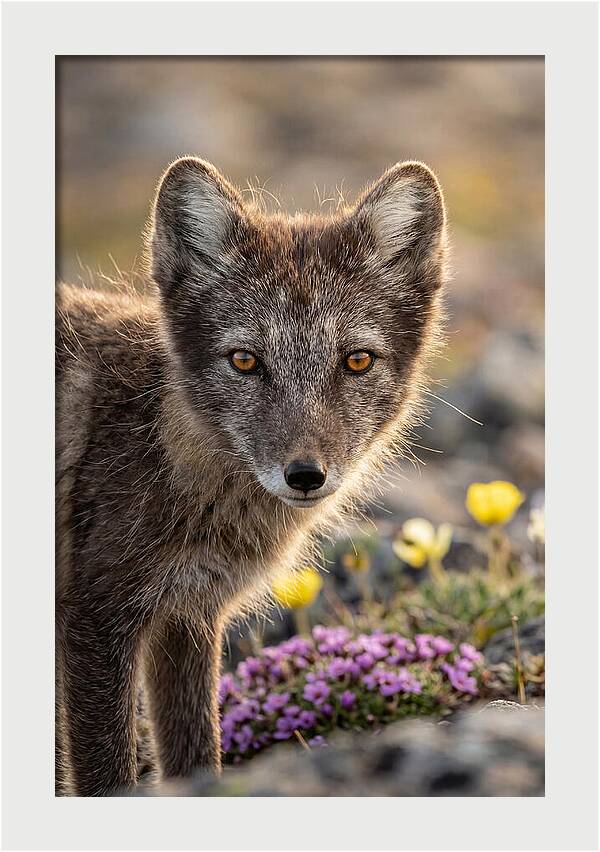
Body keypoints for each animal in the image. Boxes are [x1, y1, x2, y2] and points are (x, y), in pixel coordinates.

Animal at [55, 157, 448, 796]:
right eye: (245, 360)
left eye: (356, 360)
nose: (305, 476)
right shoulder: (97, 617)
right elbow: (107, 775)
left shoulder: (188, 617)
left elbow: (197, 757)